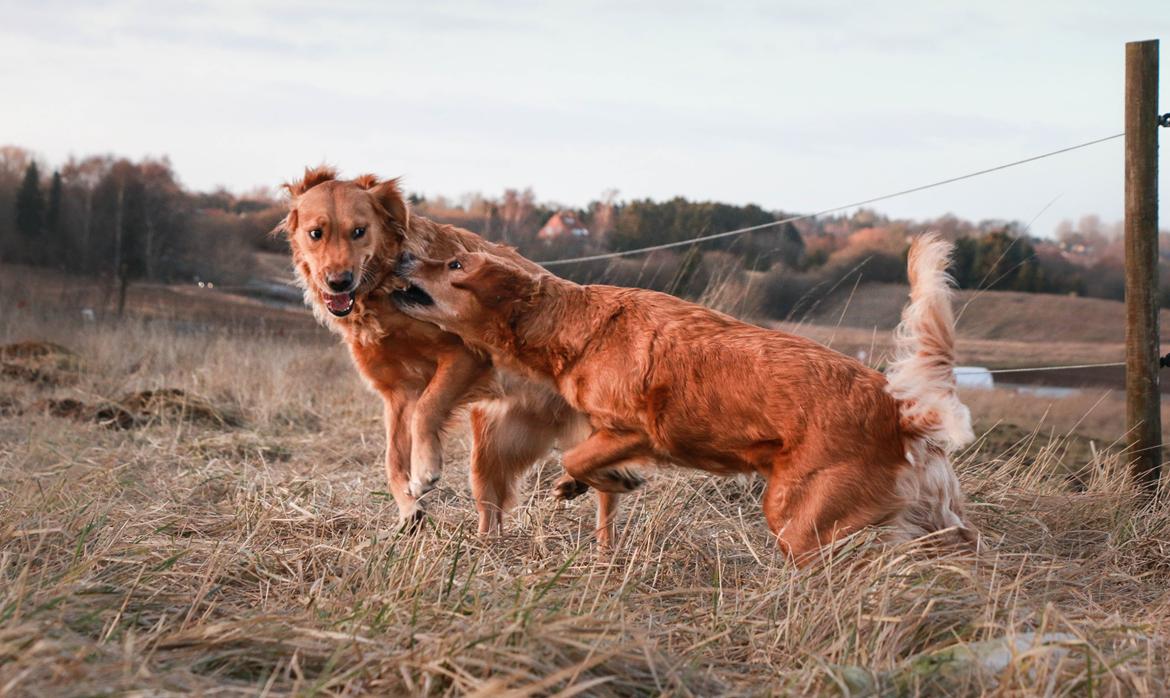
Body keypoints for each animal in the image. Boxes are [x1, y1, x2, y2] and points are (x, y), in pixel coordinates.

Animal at [274, 167, 631, 537]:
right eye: (316, 233)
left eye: (359, 231)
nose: (338, 282)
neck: (384, 293)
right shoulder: (397, 393)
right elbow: (392, 458)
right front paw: (408, 508)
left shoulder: (466, 357)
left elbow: (427, 409)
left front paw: (424, 470)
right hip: (491, 449)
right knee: (491, 509)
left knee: (605, 506)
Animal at [393, 233, 978, 561]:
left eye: (456, 266)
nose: (400, 256)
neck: (580, 326)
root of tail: (902, 413)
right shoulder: (617, 431)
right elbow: (584, 461)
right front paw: (598, 483)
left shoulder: (637, 428)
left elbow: (578, 458)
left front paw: (605, 482)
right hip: (933, 519)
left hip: (799, 519)